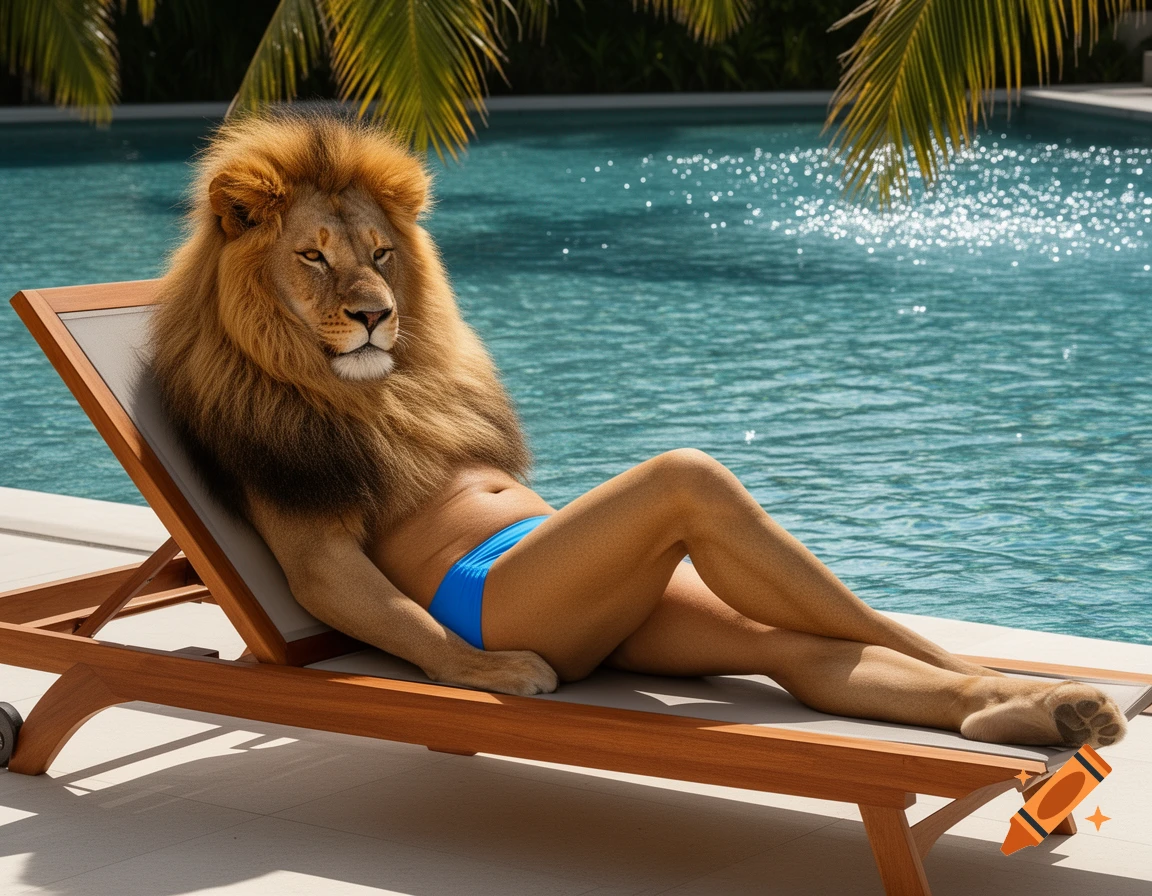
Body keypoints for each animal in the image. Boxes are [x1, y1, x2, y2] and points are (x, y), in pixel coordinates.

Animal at [150, 111, 1126, 750]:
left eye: (383, 254)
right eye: (313, 256)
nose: (375, 316)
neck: (368, 386)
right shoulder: (303, 521)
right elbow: (336, 576)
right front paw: (488, 676)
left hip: (661, 614)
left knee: (812, 650)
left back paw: (1033, 700)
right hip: (543, 597)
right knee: (692, 480)